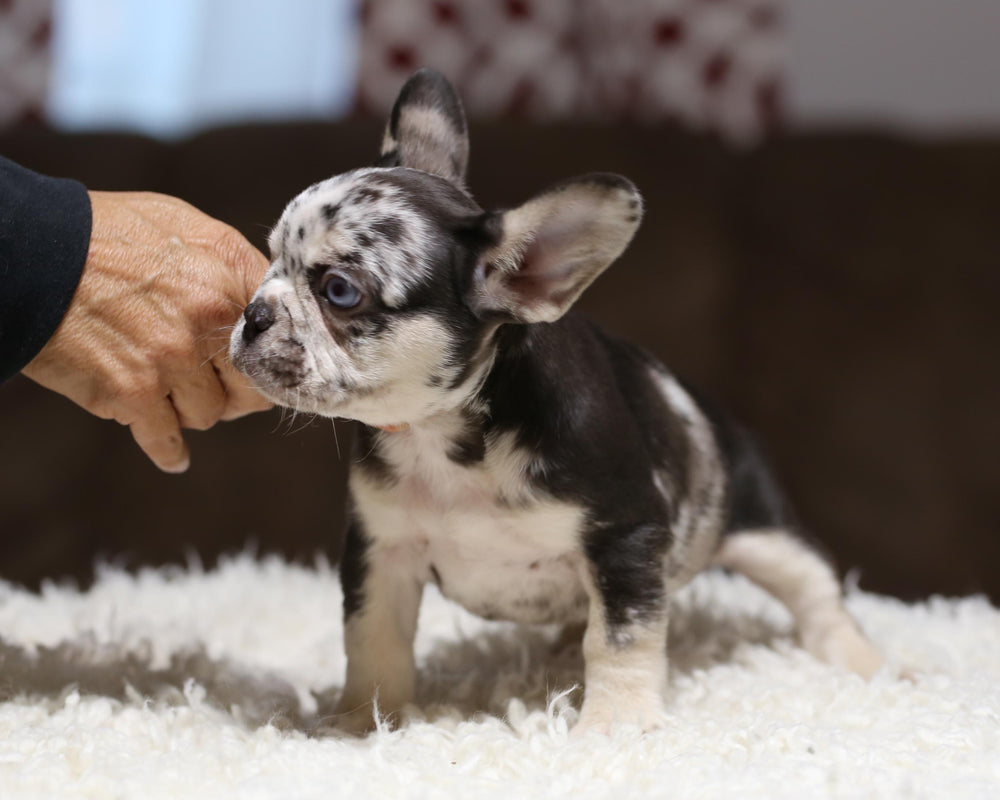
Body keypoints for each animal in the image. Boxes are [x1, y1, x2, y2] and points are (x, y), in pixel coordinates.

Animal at [229, 72, 884, 736]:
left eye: (340, 291)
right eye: (270, 260)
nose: (254, 314)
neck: (445, 432)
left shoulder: (624, 537)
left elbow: (621, 638)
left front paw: (617, 723)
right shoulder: (381, 550)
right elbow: (373, 640)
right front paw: (365, 722)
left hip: (761, 530)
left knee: (817, 593)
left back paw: (864, 662)